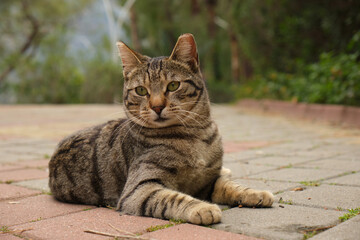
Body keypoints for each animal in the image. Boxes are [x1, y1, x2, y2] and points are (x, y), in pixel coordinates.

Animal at [47, 32, 272, 224]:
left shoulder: (208, 181)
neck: (194, 135)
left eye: (173, 85)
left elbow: (231, 186)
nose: (157, 106)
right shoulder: (139, 189)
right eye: (140, 90)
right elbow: (172, 198)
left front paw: (255, 193)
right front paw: (202, 208)